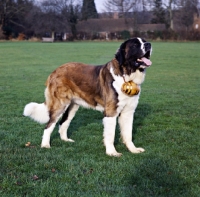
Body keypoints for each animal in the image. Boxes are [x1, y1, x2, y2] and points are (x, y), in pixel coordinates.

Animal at [23, 37, 152, 157]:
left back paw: (66, 140)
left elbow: (128, 133)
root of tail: (55, 71)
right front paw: (112, 152)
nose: (148, 44)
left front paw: (133, 150)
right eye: (135, 45)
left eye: (144, 41)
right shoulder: (110, 112)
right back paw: (45, 145)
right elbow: (110, 135)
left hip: (72, 106)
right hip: (60, 105)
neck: (126, 73)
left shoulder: (128, 112)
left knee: (63, 123)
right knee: (49, 125)